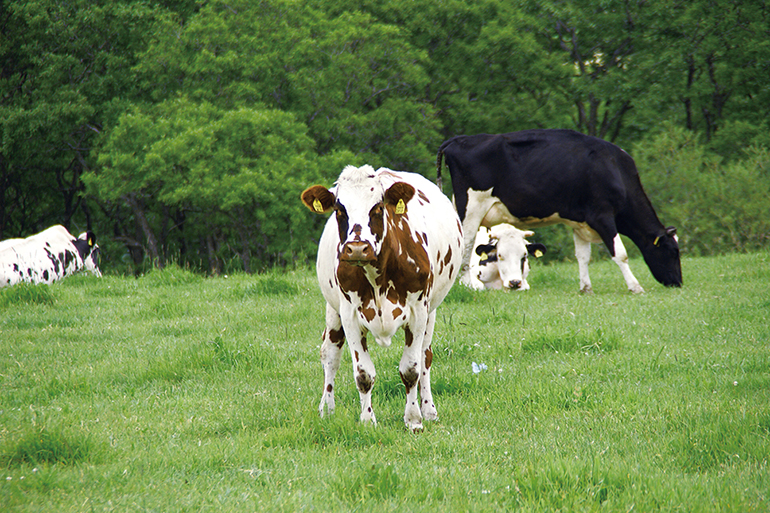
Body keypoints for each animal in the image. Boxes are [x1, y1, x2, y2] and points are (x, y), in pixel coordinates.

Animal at [302, 164, 462, 428]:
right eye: (339, 209)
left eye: (377, 207)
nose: (357, 248)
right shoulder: (350, 315)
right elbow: (363, 374)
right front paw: (367, 421)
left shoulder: (418, 311)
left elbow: (411, 369)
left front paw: (414, 419)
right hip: (333, 309)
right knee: (330, 354)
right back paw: (327, 409)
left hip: (431, 311)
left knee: (425, 356)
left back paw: (429, 410)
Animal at [436, 129, 680, 292]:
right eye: (672, 252)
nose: (678, 282)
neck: (614, 169)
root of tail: (458, 139)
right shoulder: (603, 216)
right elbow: (620, 253)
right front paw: (635, 287)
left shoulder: (580, 222)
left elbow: (583, 256)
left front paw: (586, 288)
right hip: (471, 209)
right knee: (466, 246)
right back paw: (467, 286)